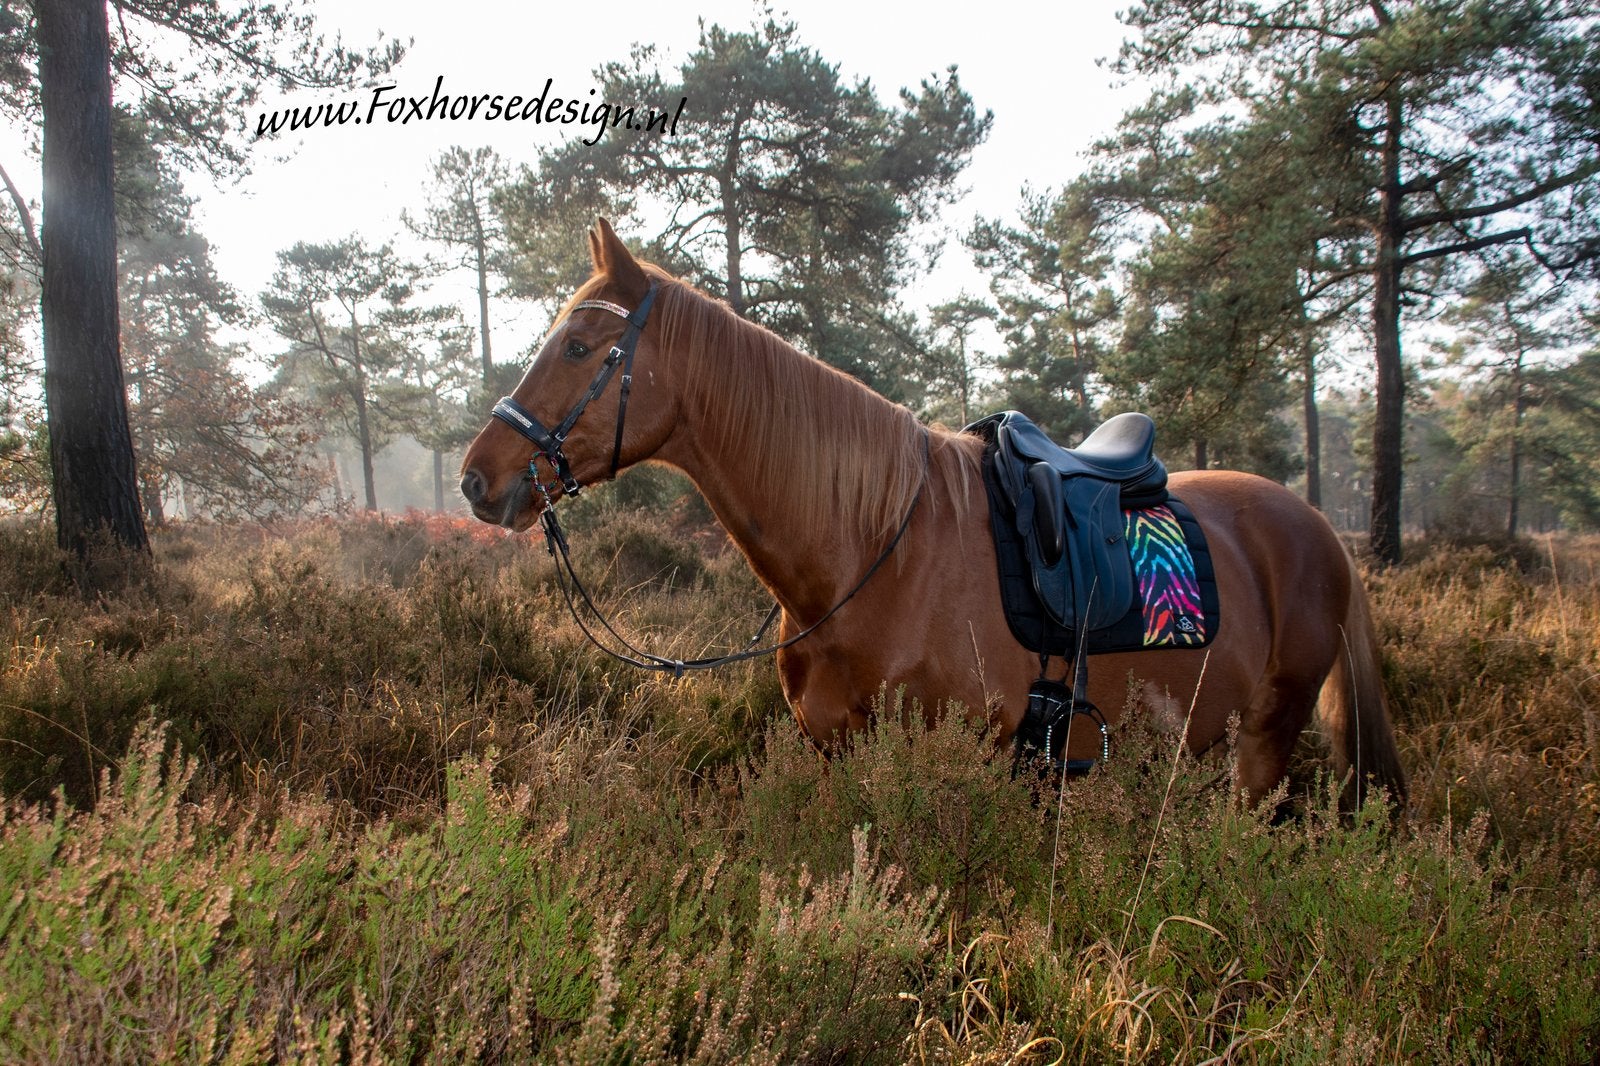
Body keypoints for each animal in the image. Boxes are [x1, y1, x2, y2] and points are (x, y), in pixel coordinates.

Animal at [460, 220, 1406, 808]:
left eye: (579, 346)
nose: (477, 478)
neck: (872, 553)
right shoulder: (836, 749)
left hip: (1266, 745)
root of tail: (1319, 530)